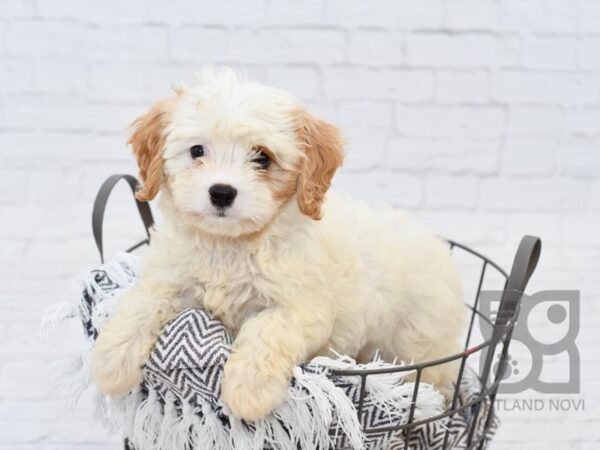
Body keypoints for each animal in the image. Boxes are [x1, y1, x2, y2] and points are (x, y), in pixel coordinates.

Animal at [94, 67, 466, 422]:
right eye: (197, 151)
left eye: (262, 158)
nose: (221, 192)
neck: (230, 245)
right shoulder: (169, 277)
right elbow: (141, 303)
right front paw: (111, 361)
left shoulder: (303, 308)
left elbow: (267, 329)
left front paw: (249, 390)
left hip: (420, 343)